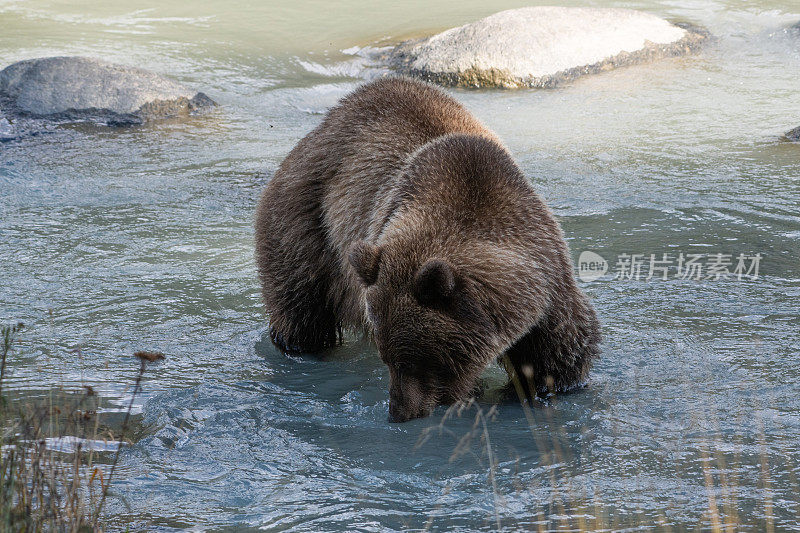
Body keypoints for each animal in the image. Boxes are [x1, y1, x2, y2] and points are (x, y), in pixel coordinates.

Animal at [256, 77, 600, 422]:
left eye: (415, 360)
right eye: (387, 357)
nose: (398, 411)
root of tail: (325, 123)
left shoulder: (546, 278)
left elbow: (558, 353)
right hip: (306, 216)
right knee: (300, 297)